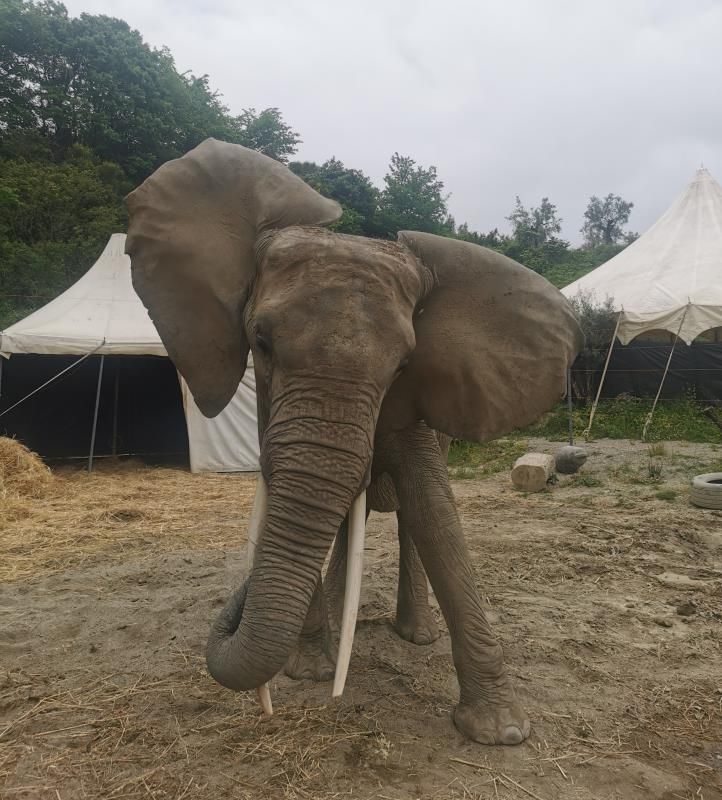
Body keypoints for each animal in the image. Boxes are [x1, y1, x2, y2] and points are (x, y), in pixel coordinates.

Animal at [124, 139, 582, 746]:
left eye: (403, 366)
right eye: (260, 342)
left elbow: (435, 511)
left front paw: (500, 732)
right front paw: (309, 671)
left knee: (408, 520)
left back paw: (414, 634)